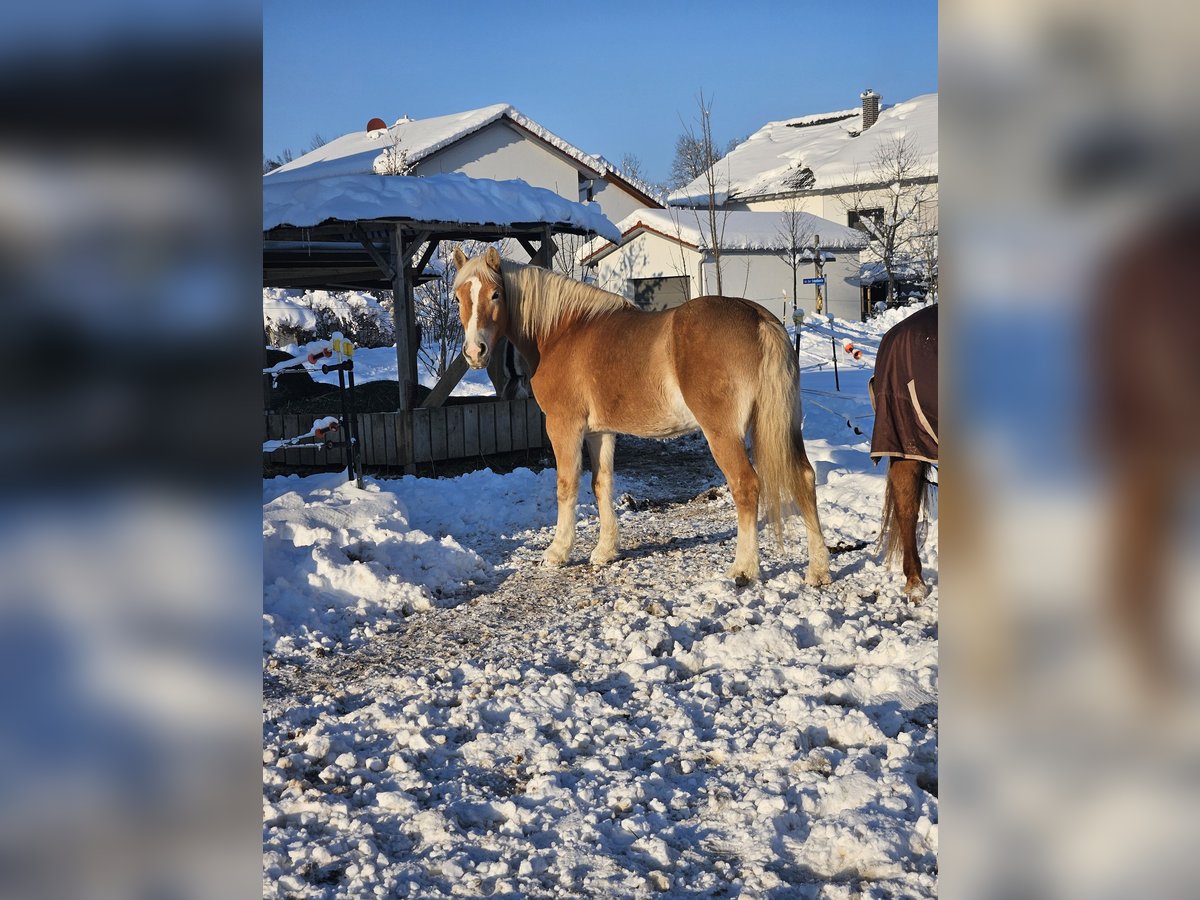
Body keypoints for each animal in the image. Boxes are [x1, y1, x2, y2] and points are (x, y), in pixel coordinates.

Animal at [453, 247, 830, 588]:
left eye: (496, 293)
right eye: (459, 296)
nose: (474, 352)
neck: (562, 331)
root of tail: (757, 317)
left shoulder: (564, 425)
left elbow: (567, 485)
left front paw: (558, 552)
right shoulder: (600, 432)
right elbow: (601, 484)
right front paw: (605, 551)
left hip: (723, 434)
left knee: (746, 485)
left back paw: (743, 570)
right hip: (778, 426)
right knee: (804, 478)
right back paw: (818, 571)